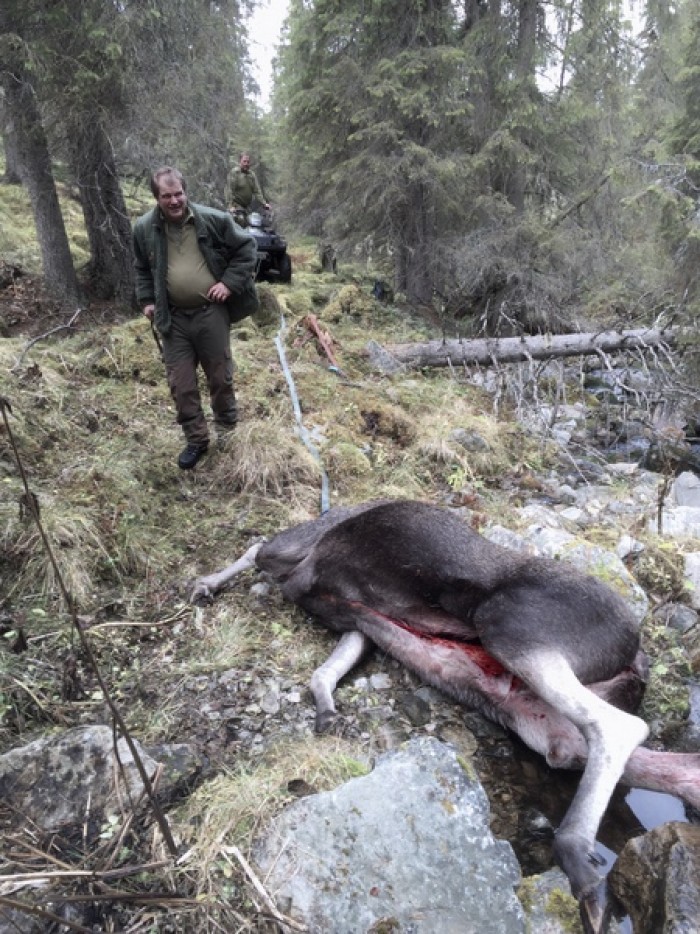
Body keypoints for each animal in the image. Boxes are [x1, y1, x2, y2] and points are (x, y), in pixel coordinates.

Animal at [190, 500, 700, 932]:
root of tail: (636, 658)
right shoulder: (353, 624)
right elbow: (324, 671)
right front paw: (326, 708)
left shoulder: (297, 555)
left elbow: (253, 546)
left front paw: (208, 581)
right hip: (537, 720)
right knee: (642, 758)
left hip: (509, 625)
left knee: (619, 727)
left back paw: (578, 860)